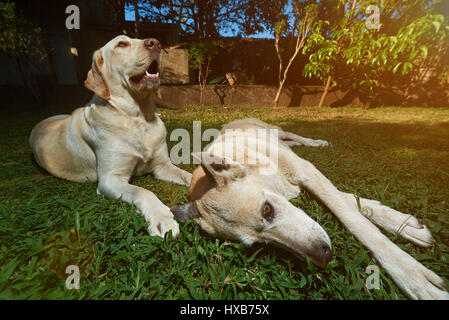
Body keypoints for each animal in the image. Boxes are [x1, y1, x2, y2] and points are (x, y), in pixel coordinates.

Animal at [29, 36, 191, 239]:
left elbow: (188, 175)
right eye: (121, 44)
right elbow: (142, 192)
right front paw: (162, 219)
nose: (155, 43)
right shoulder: (110, 179)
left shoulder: (162, 166)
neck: (138, 118)